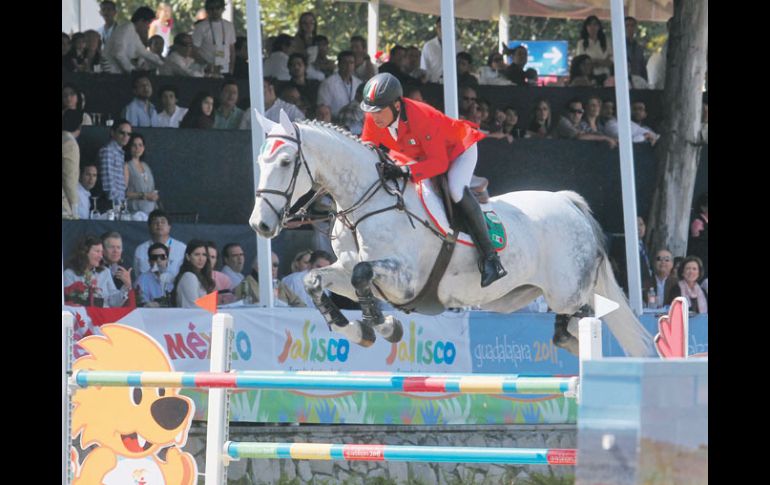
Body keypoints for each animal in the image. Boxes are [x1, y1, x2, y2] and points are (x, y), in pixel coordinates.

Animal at [249, 111, 652, 358]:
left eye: (285, 162)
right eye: (259, 161)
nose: (260, 226)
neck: (368, 200)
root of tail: (570, 202)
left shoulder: (403, 279)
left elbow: (365, 276)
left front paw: (388, 327)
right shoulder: (347, 272)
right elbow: (316, 280)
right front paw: (358, 332)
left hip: (566, 291)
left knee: (585, 316)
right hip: (525, 296)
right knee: (571, 326)